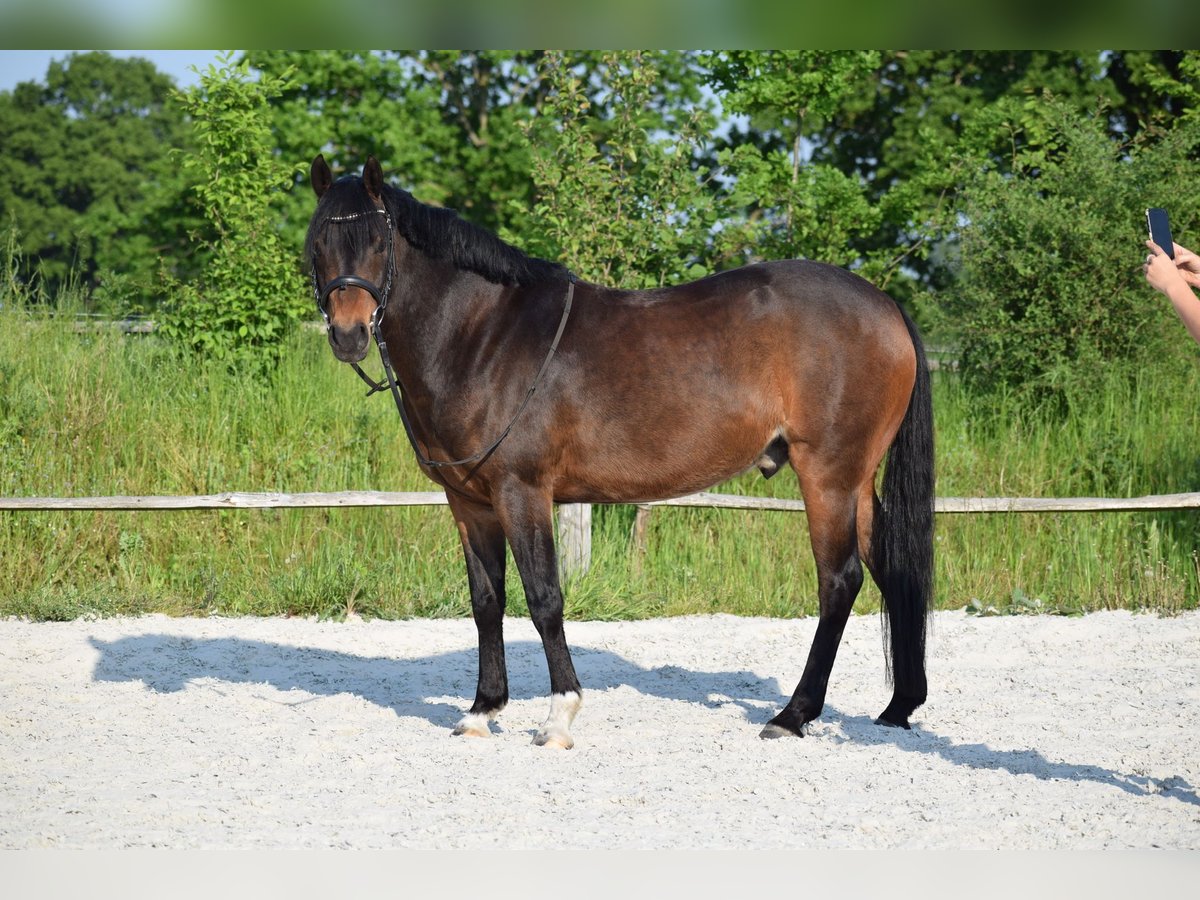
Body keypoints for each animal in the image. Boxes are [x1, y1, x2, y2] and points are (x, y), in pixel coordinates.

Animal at [304, 157, 931, 753]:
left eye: (378, 242)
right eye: (318, 243)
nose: (348, 335)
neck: (484, 336)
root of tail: (885, 305)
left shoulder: (521, 491)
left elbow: (543, 598)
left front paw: (558, 719)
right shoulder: (469, 503)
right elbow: (486, 600)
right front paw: (482, 711)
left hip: (826, 475)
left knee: (839, 581)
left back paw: (792, 716)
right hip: (857, 480)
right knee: (892, 568)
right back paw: (898, 706)